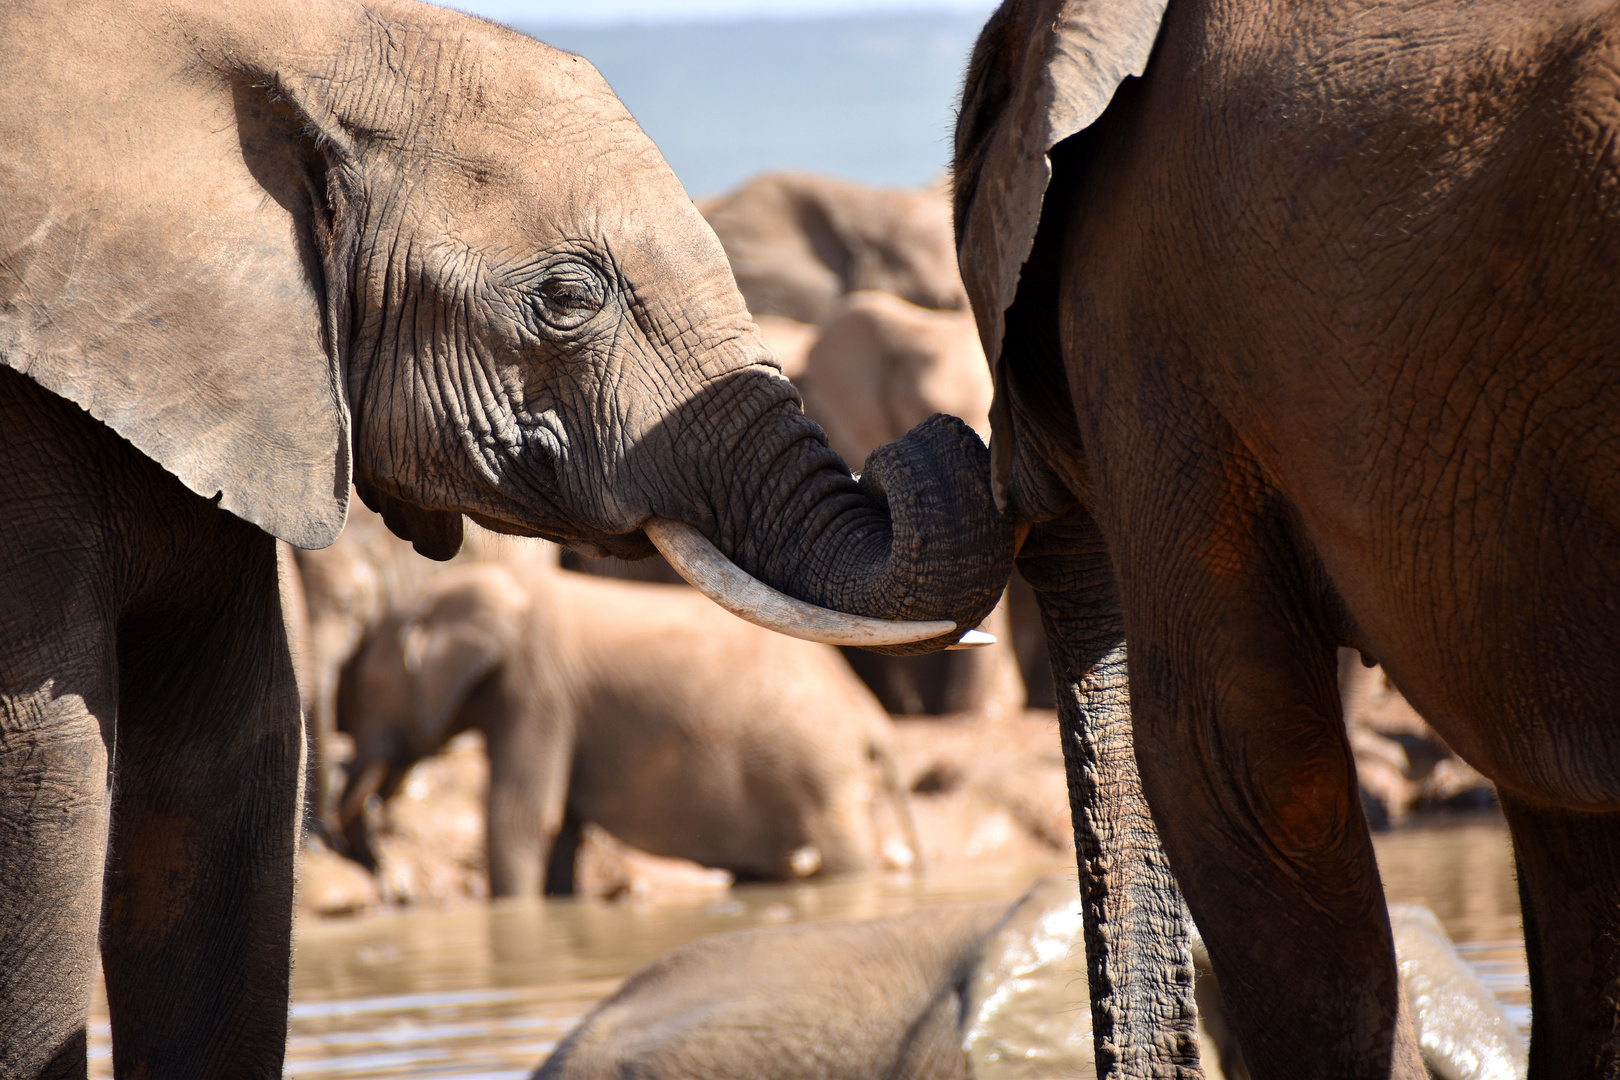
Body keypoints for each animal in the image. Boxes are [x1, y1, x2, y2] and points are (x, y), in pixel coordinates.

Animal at [338, 563, 926, 900]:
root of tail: (872, 717)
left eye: (367, 686)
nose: (393, 887)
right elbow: (560, 829)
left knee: (840, 855)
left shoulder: (537, 691)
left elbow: (523, 818)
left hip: (818, 776)